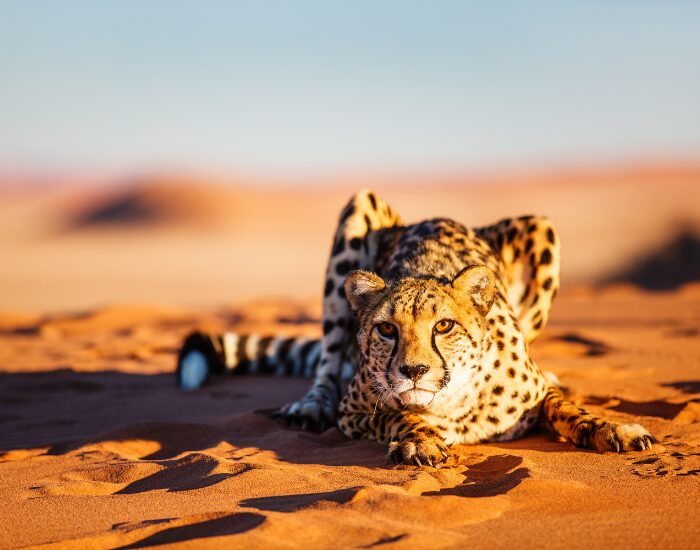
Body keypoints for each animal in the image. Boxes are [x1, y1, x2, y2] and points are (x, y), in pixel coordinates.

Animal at [177, 189, 654, 465]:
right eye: (387, 329)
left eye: (443, 326)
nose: (413, 371)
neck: (454, 398)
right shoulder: (353, 414)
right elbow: (396, 415)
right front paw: (419, 440)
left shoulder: (535, 390)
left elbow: (565, 406)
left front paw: (614, 428)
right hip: (357, 213)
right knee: (328, 361)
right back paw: (311, 405)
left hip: (541, 229)